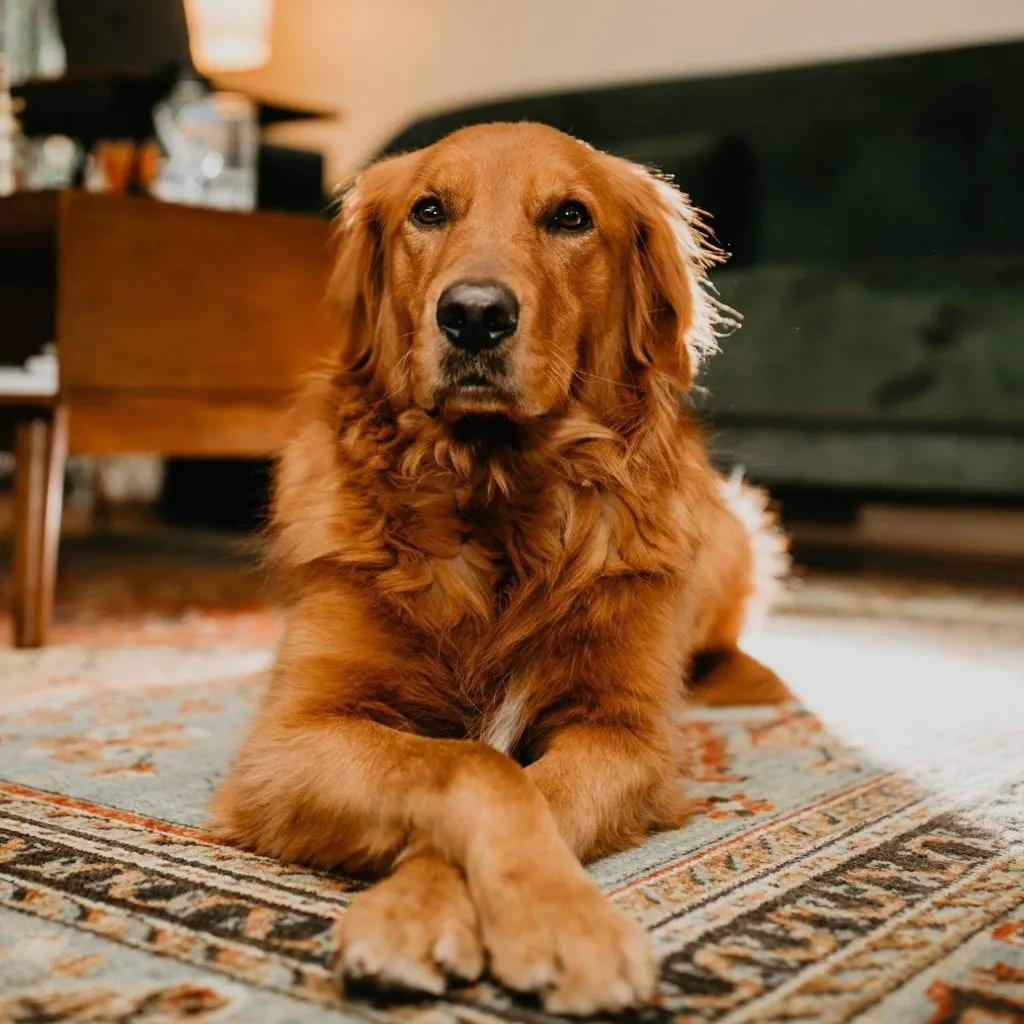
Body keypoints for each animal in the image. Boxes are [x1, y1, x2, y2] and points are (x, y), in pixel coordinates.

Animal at [207, 121, 782, 1015]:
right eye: (429, 211)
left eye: (571, 216)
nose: (475, 315)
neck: (498, 497)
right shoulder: (286, 740)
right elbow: (475, 766)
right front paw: (416, 912)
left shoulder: (624, 733)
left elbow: (528, 784)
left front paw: (555, 916)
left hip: (733, 526)